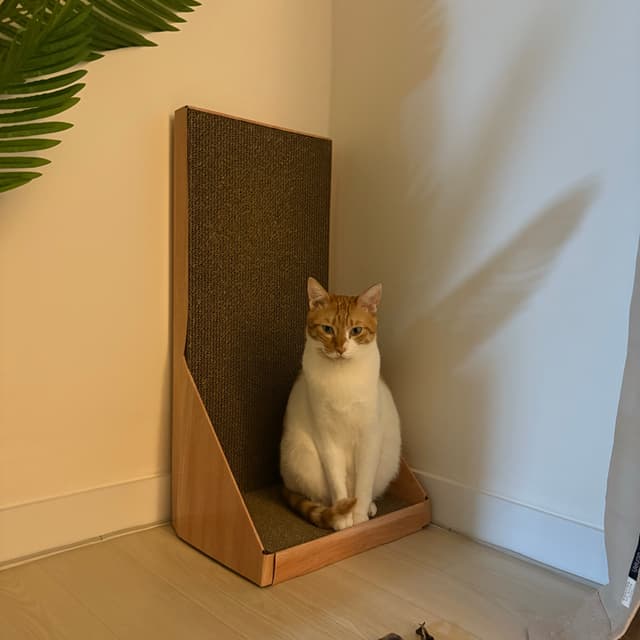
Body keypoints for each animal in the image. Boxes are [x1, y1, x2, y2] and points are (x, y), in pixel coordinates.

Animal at [280, 277, 401, 531]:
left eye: (356, 331)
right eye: (327, 329)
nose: (340, 348)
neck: (342, 377)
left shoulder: (369, 437)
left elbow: (363, 485)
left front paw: (360, 518)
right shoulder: (326, 438)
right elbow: (337, 484)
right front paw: (343, 518)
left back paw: (369, 507)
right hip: (302, 458)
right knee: (318, 496)